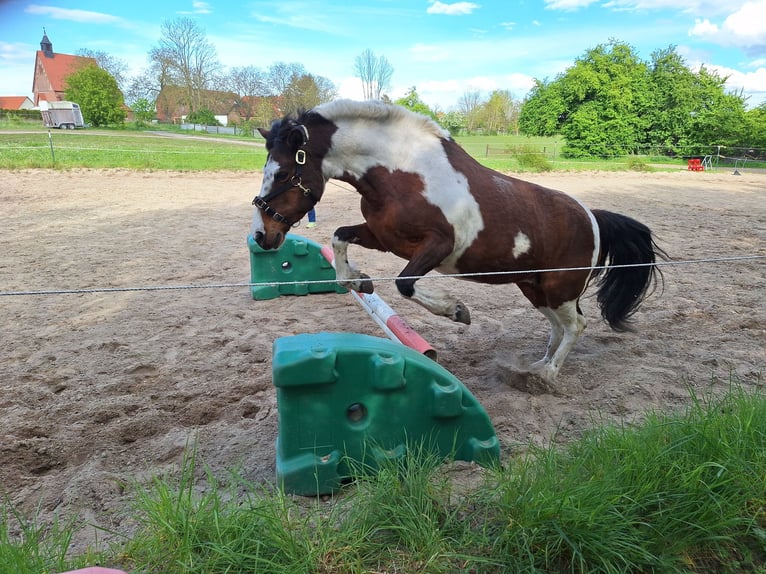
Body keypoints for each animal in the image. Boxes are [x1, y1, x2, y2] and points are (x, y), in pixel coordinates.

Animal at [250, 101, 664, 384]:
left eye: (283, 173)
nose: (262, 236)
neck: (403, 172)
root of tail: (592, 216)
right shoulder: (384, 237)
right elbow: (339, 238)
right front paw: (359, 280)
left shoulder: (437, 246)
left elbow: (405, 283)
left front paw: (456, 310)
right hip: (535, 288)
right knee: (559, 326)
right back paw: (538, 365)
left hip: (560, 287)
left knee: (577, 325)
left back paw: (546, 375)